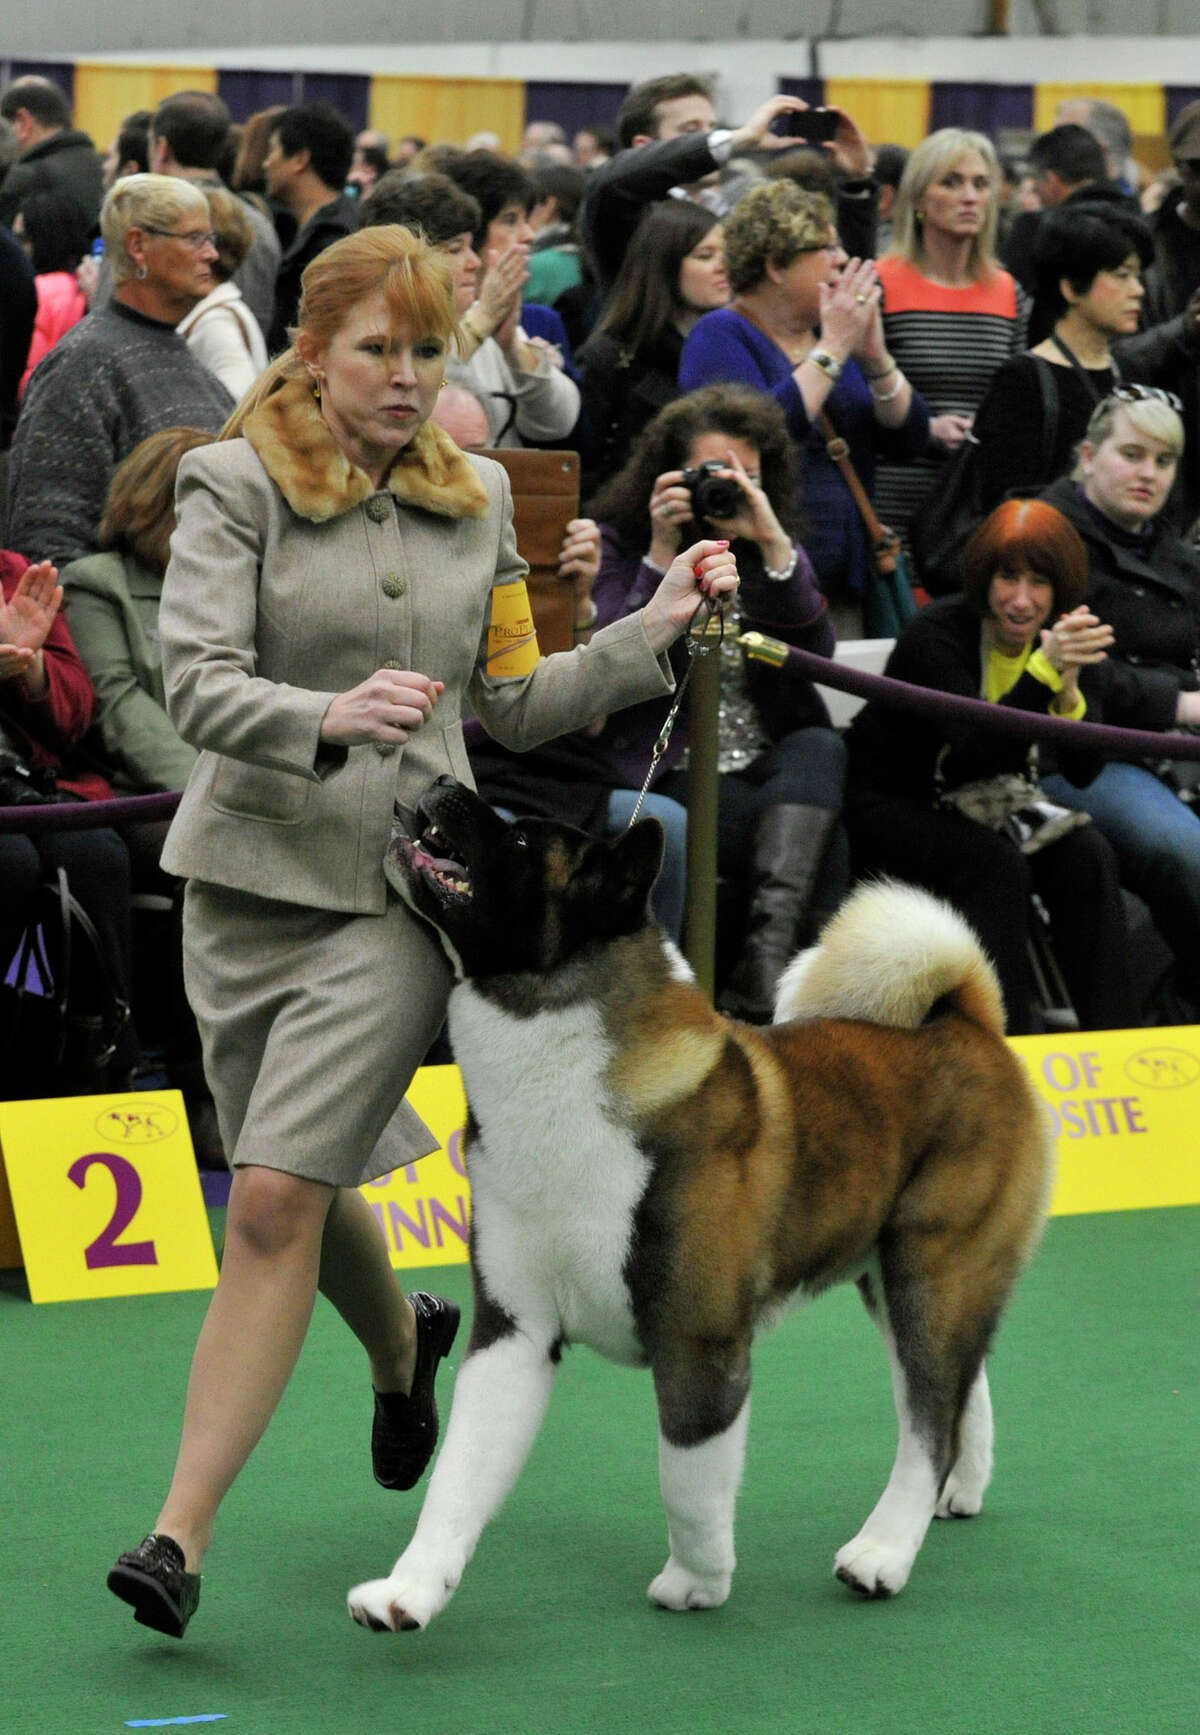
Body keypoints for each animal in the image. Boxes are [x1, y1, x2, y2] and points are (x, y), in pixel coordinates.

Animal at [346, 780, 1047, 1630]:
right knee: (956, 1388)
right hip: (898, 1276)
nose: (445, 786)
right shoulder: (513, 1331)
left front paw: (696, 1582)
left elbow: (686, 1479)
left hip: (931, 1269)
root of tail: (968, 1021)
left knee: (928, 1417)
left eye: (518, 842)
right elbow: (456, 1481)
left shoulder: (697, 1340)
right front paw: (407, 1592)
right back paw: (958, 1491)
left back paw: (881, 1553)